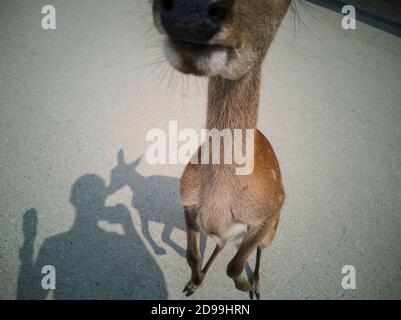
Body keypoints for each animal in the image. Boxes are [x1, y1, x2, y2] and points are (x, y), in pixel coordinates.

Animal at [152, 0, 290, 300]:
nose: (188, 16)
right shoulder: (188, 201)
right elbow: (191, 255)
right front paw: (194, 280)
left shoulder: (272, 209)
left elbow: (235, 264)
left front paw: (245, 285)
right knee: (221, 245)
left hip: (274, 231)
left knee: (258, 249)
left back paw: (256, 285)